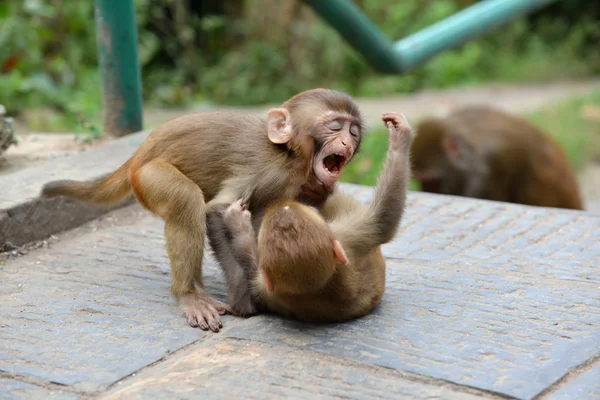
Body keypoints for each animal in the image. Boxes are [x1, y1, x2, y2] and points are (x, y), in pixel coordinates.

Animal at [41, 88, 366, 332]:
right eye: (334, 126)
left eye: (354, 132)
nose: (347, 142)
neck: (292, 155)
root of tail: (138, 155)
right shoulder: (270, 172)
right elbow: (216, 212)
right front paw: (244, 296)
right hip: (149, 177)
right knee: (186, 200)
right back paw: (189, 294)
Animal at [223, 111, 414, 322]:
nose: (279, 206)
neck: (321, 287)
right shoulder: (348, 237)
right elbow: (383, 220)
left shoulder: (265, 288)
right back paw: (322, 195)